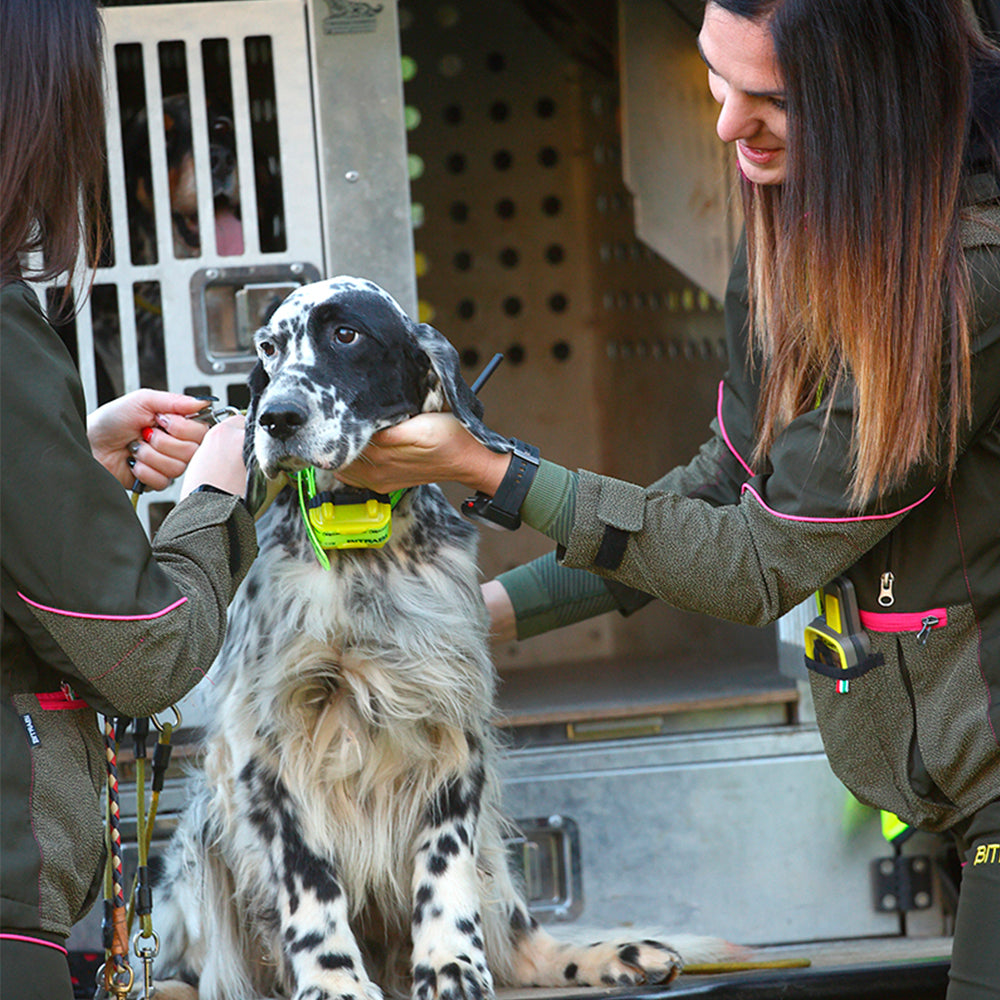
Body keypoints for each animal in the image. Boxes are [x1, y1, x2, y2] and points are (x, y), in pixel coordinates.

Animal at [154, 276, 736, 1000]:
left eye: (346, 334)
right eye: (268, 347)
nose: (276, 419)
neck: (360, 550)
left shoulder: (453, 728)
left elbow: (444, 863)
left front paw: (451, 962)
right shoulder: (264, 746)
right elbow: (309, 880)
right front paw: (335, 978)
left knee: (524, 942)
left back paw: (614, 953)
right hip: (201, 835)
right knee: (196, 970)